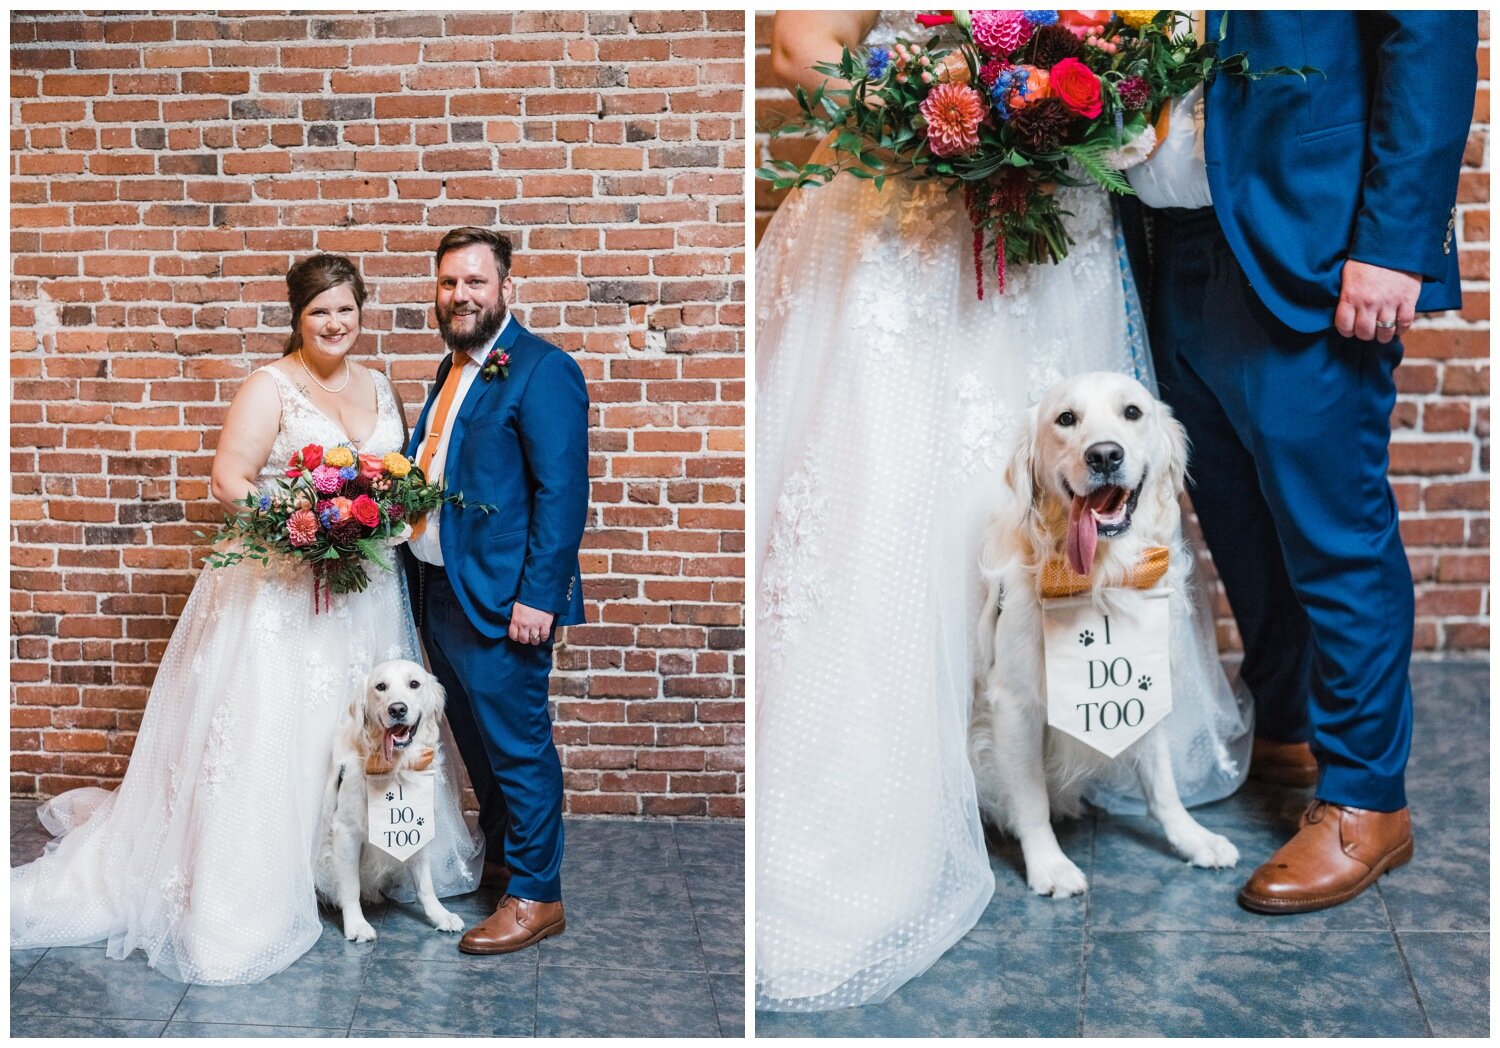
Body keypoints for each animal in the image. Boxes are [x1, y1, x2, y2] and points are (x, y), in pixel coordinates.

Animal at [313, 659, 459, 941]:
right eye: (381, 687)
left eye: (414, 684)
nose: (398, 709)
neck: (394, 767)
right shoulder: (345, 829)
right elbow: (349, 884)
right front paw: (356, 924)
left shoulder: (418, 824)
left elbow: (425, 883)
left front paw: (440, 914)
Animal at [966, 373, 1236, 899]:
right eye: (1066, 419)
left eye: (1132, 412)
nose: (1105, 455)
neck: (1101, 577)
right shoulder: (1013, 701)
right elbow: (1030, 796)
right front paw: (1049, 865)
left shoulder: (1145, 683)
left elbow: (1162, 782)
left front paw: (1192, 838)